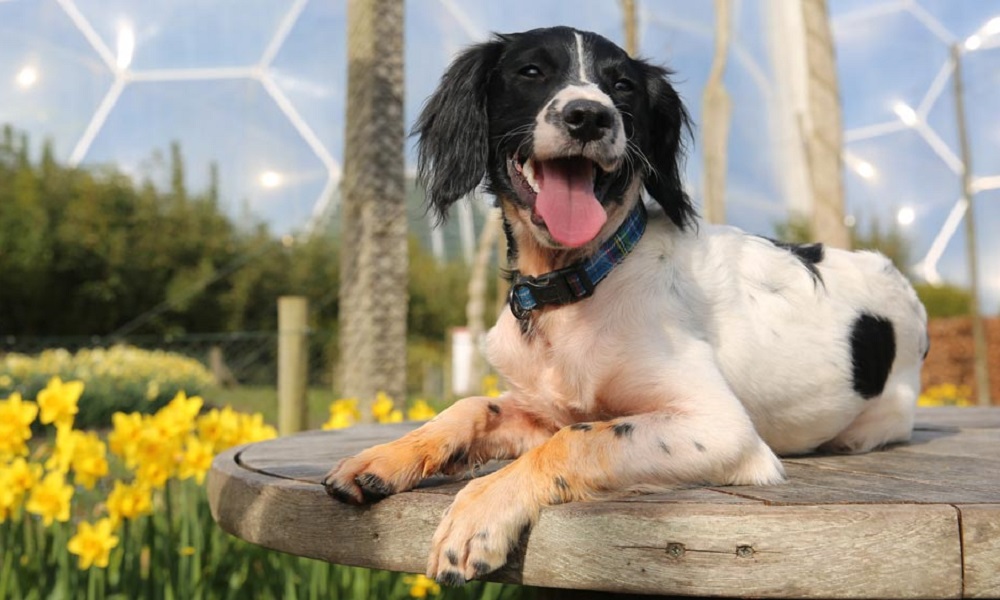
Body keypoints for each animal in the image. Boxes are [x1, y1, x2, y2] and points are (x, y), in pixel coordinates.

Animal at [322, 25, 928, 584]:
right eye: (531, 72)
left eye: (622, 86)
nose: (589, 116)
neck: (579, 284)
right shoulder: (544, 408)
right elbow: (477, 406)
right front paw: (388, 456)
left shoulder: (722, 428)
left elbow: (578, 440)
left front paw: (480, 511)